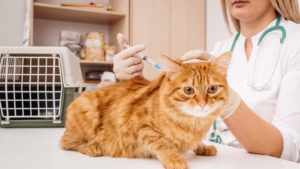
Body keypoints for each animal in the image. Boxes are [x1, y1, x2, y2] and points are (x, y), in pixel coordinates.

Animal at [59, 52, 231, 168]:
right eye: (188, 90)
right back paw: (92, 147)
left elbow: (194, 142)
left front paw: (203, 147)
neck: (193, 123)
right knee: (67, 144)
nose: (203, 104)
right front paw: (174, 158)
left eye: (212, 89)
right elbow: (163, 143)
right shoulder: (142, 126)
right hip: (86, 109)